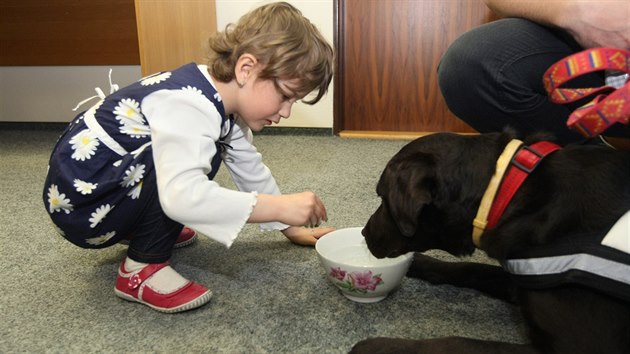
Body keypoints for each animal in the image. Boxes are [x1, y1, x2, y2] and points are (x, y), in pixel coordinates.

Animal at [354, 131, 628, 354]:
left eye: (383, 197)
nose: (364, 233)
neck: (505, 194)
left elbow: (457, 343)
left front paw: (378, 346)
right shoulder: (525, 274)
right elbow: (472, 269)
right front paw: (421, 264)